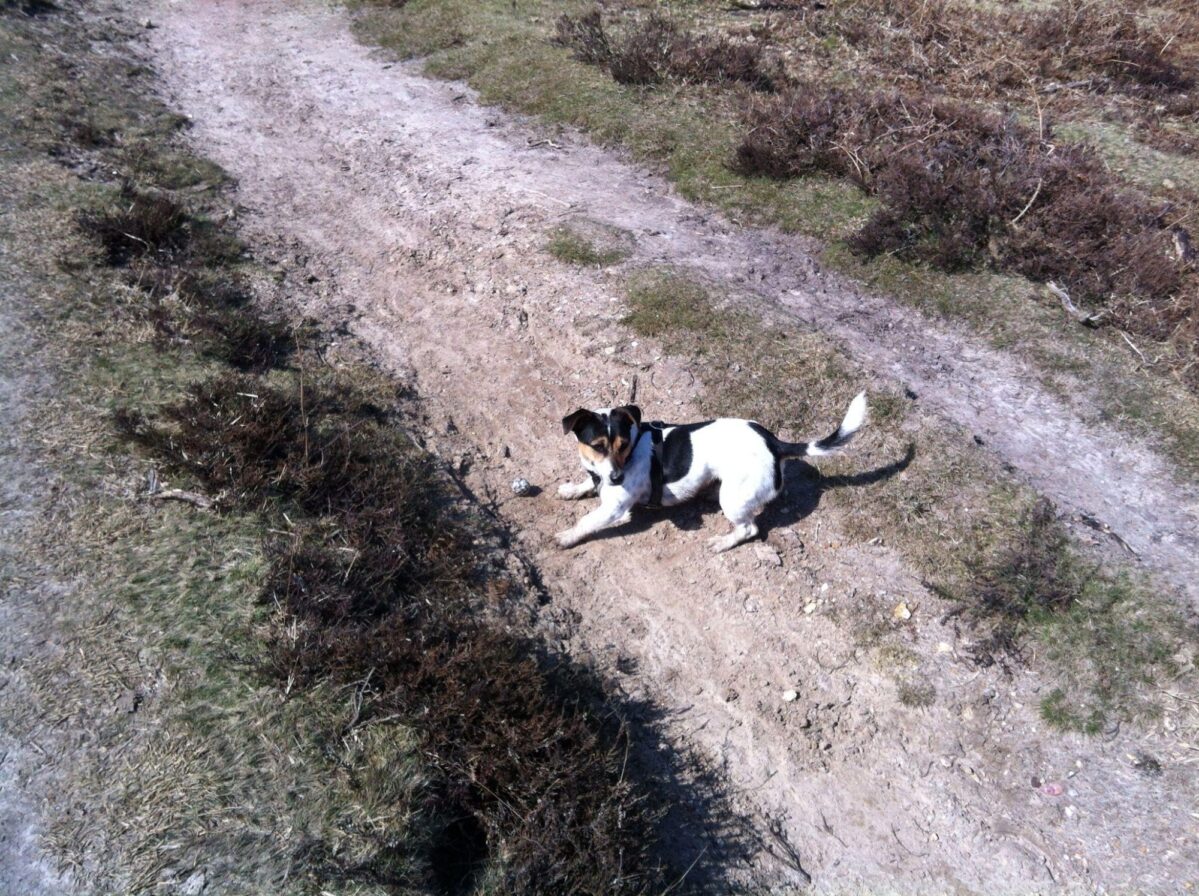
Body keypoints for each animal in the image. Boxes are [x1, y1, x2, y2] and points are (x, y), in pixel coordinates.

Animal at [556, 393, 868, 554]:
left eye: (622, 445)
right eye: (597, 446)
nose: (617, 478)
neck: (634, 447)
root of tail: (774, 443)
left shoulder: (614, 508)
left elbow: (587, 521)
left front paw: (568, 536)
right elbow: (587, 483)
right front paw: (573, 489)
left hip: (733, 499)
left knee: (749, 528)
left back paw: (722, 542)